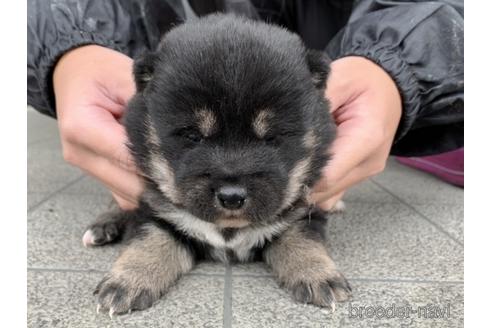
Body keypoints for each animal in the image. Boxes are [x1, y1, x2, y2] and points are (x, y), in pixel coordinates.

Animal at [84, 13, 352, 316]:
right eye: (192, 136)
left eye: (272, 137)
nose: (232, 197)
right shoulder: (155, 208)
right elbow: (148, 239)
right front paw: (128, 280)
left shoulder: (305, 208)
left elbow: (302, 237)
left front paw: (318, 274)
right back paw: (103, 225)